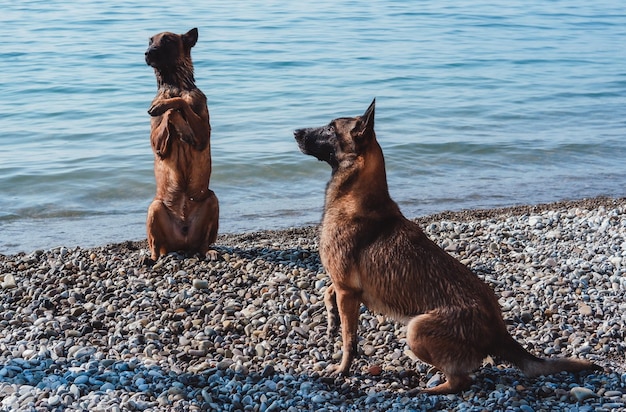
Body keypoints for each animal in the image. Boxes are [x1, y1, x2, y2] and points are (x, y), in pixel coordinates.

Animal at [144, 27, 219, 262]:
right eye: (150, 41)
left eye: (167, 40)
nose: (147, 53)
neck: (175, 85)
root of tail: (183, 241)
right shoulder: (156, 144)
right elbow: (171, 110)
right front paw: (166, 108)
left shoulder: (203, 133)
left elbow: (180, 104)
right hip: (155, 207)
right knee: (155, 247)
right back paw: (150, 258)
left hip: (212, 200)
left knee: (204, 243)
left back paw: (209, 251)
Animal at [294, 99, 600, 392]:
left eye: (331, 128)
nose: (295, 132)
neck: (355, 194)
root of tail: (498, 331)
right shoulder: (345, 285)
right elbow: (329, 292)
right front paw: (331, 317)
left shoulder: (348, 290)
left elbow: (349, 340)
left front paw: (342, 368)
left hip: (416, 329)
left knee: (460, 382)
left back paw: (423, 391)